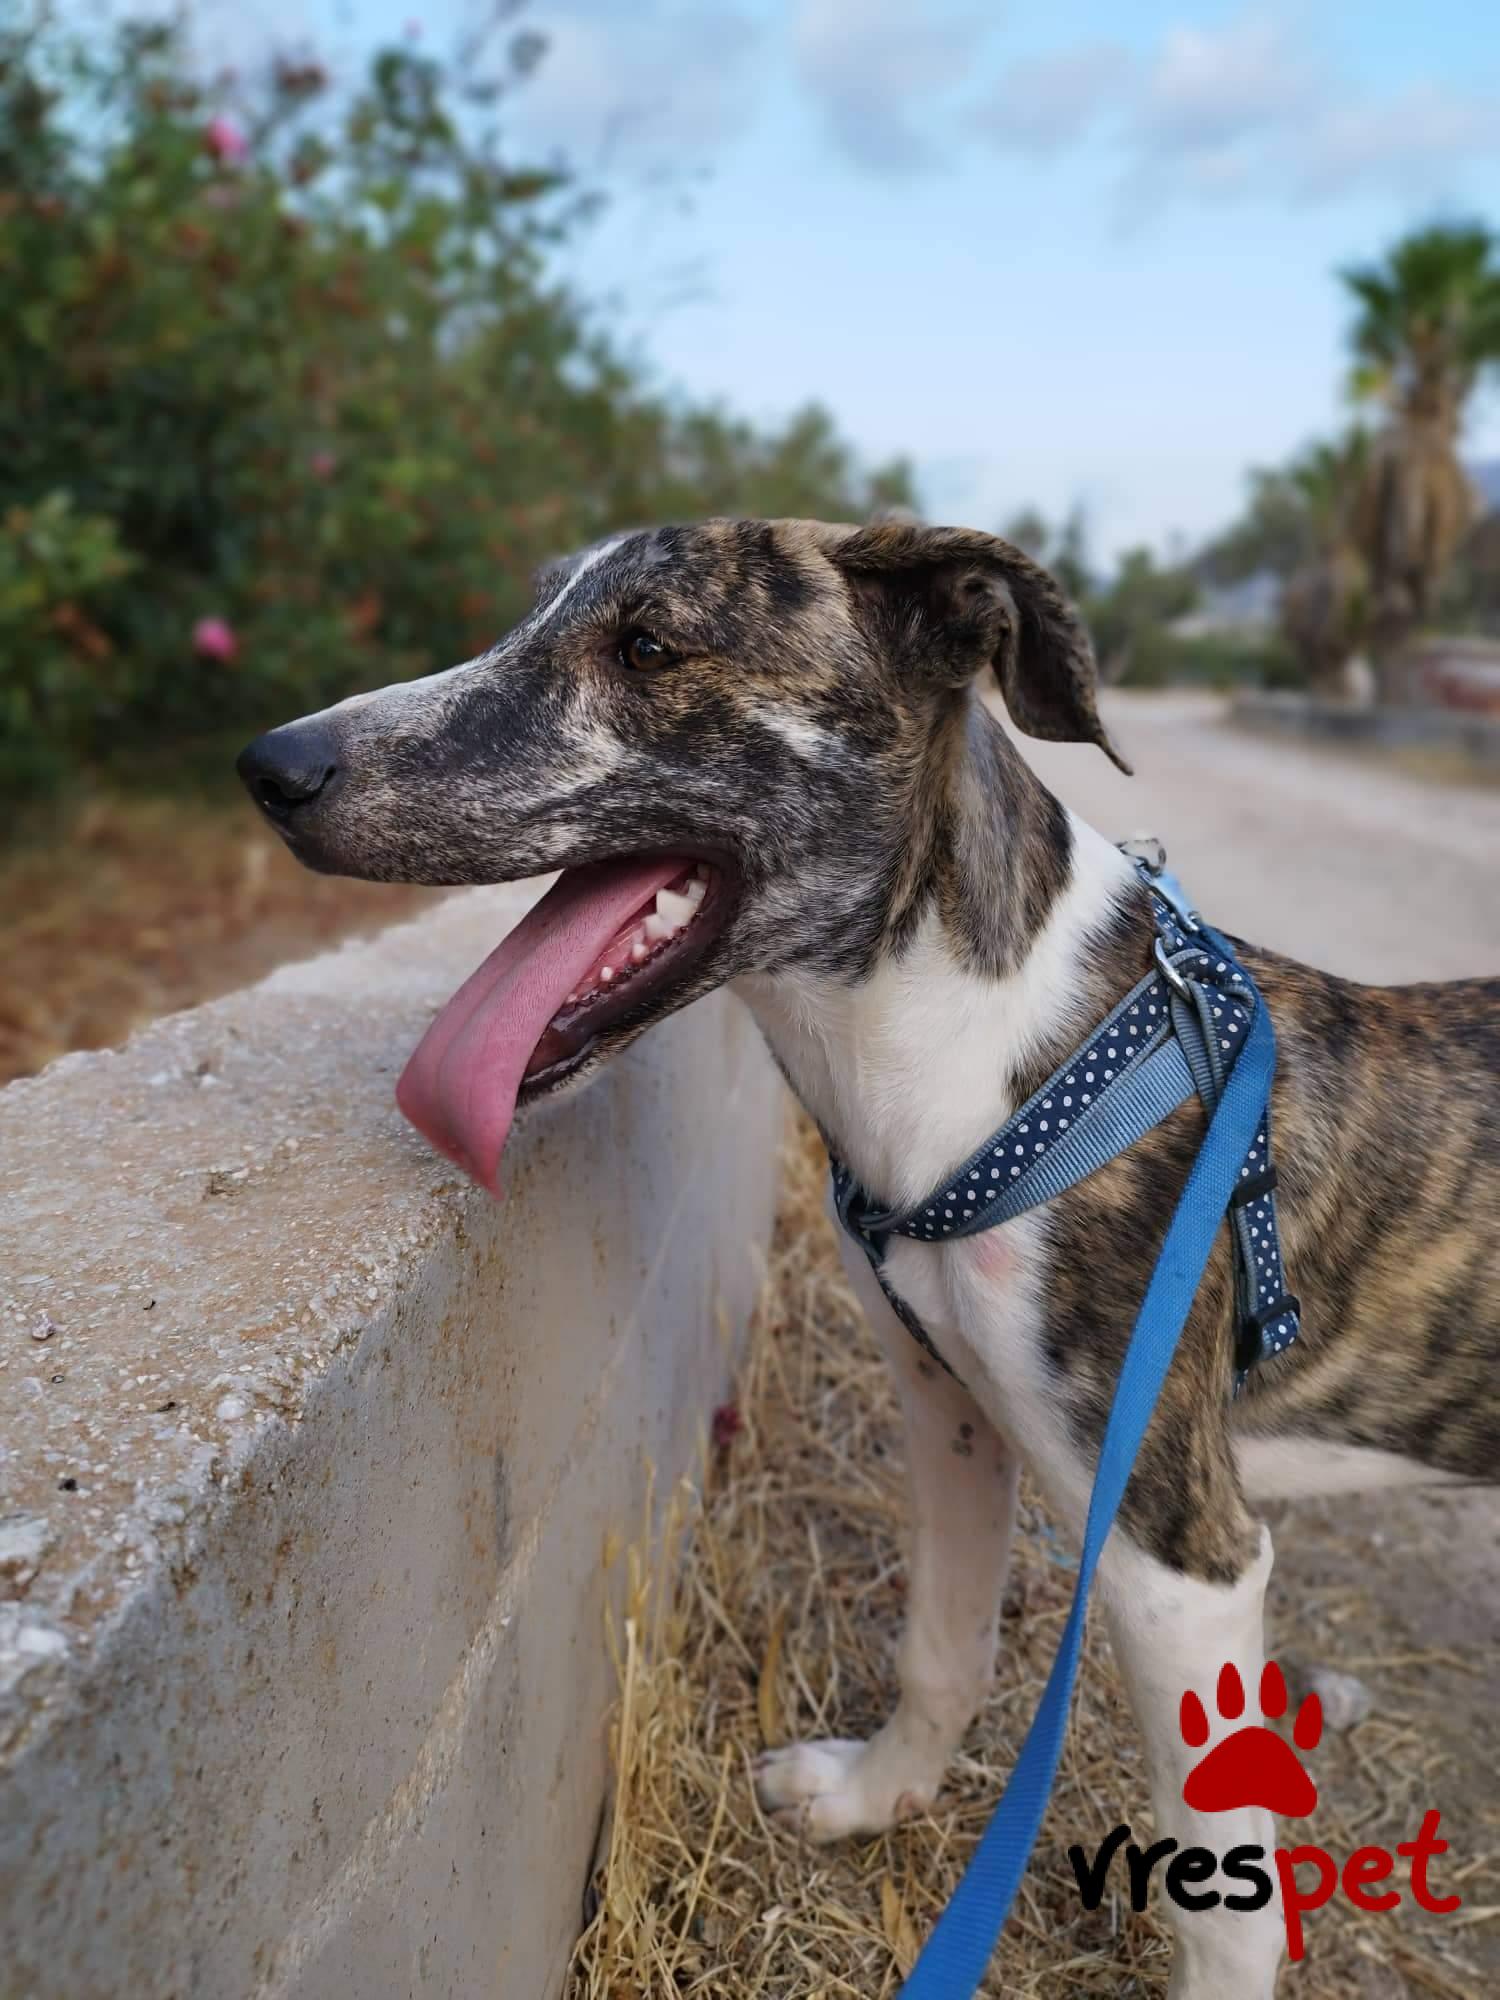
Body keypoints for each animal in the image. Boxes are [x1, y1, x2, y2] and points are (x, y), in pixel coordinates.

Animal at [238, 518, 1499, 1998]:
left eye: (648, 646)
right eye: (522, 616)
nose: (272, 765)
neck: (976, 1047)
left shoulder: (1179, 1547)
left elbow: (1223, 1901)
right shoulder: (952, 1406)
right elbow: (941, 1647)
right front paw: (875, 1798)